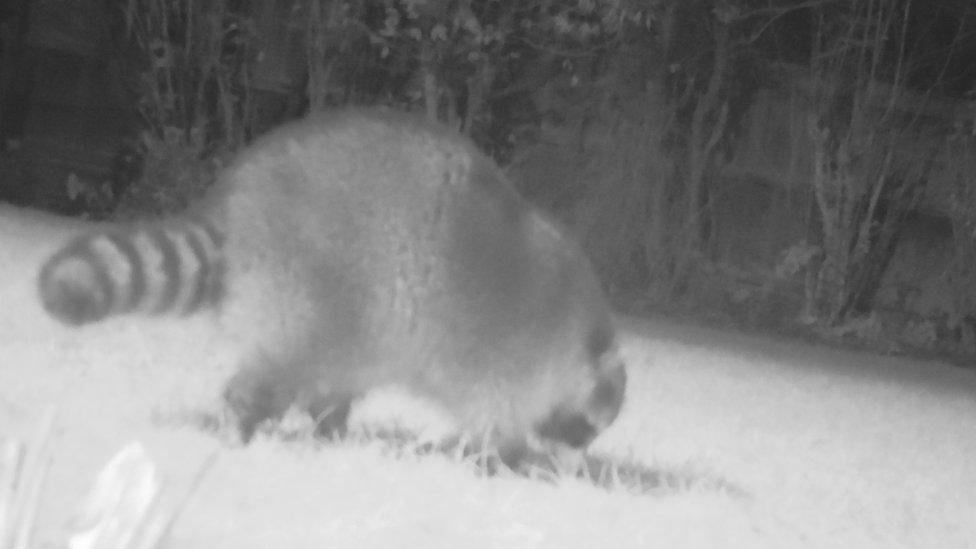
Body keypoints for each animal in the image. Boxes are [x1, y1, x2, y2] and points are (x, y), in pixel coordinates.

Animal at [36, 109, 624, 464]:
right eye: (588, 428)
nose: (574, 467)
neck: (579, 339)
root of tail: (239, 198)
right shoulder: (511, 360)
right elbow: (494, 418)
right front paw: (511, 458)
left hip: (352, 329)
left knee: (336, 379)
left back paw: (332, 429)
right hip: (309, 292)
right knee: (278, 373)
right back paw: (243, 424)